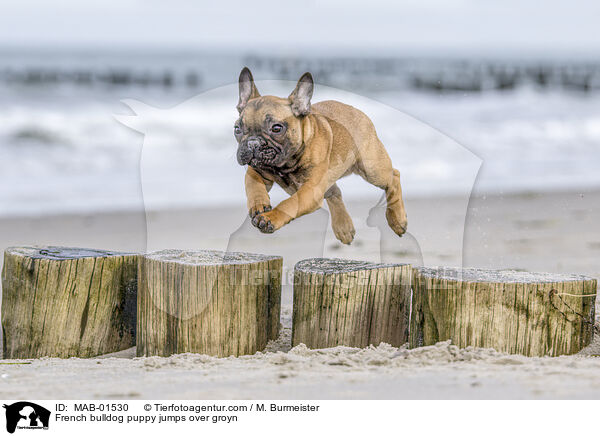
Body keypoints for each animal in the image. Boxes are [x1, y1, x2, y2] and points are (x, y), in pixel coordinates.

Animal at [234, 66, 408, 244]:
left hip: (372, 168)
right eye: (237, 129)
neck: (286, 164)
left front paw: (270, 217)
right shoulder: (256, 171)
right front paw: (259, 205)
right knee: (335, 192)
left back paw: (397, 219)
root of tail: (358, 111)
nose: (252, 142)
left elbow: (289, 203)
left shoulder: (310, 191)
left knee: (394, 177)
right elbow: (253, 186)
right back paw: (343, 226)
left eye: (276, 128)